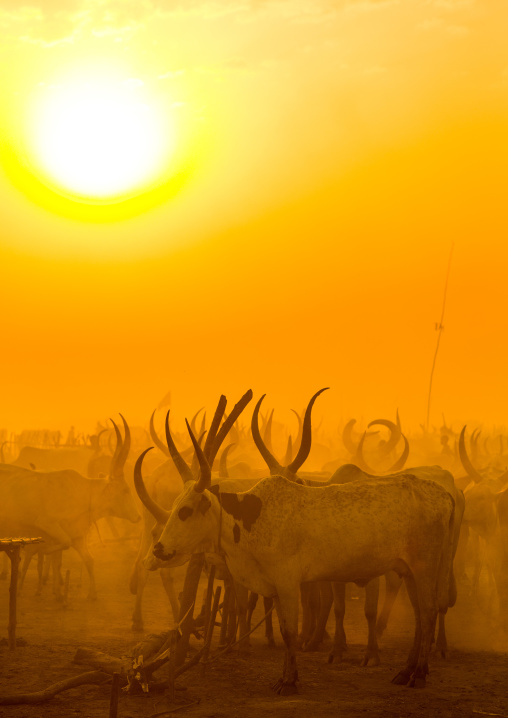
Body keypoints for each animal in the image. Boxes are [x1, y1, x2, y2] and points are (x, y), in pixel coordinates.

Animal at [140, 408, 456, 694]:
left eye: (185, 511)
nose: (159, 549)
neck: (250, 518)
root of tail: (442, 494)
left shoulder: (288, 584)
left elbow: (291, 631)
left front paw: (289, 681)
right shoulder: (275, 587)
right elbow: (283, 629)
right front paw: (285, 676)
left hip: (425, 567)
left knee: (428, 612)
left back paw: (419, 674)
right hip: (409, 571)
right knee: (420, 615)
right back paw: (406, 671)